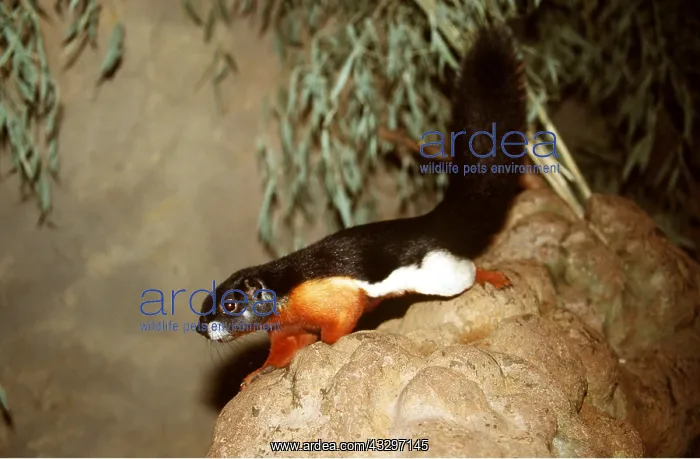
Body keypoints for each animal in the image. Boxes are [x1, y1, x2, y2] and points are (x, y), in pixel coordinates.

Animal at [197, 25, 527, 390]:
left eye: (231, 304)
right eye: (205, 301)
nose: (202, 327)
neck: (284, 290)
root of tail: (430, 223)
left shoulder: (332, 299)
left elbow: (337, 326)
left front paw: (325, 347)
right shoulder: (286, 327)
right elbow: (282, 351)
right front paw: (258, 372)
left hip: (437, 271)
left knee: (466, 270)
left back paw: (492, 276)